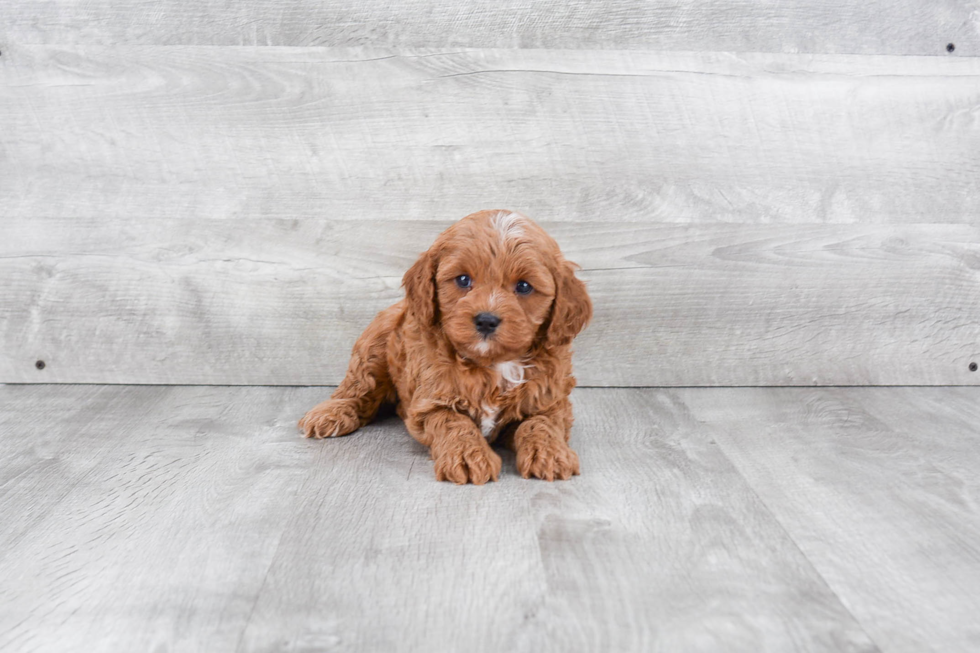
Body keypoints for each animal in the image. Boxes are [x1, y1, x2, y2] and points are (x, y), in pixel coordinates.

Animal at [298, 210, 588, 484]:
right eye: (463, 280)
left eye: (524, 286)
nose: (486, 320)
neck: (493, 364)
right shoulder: (431, 401)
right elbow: (453, 421)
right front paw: (468, 456)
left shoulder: (551, 401)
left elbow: (540, 424)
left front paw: (550, 454)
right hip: (374, 345)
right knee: (357, 387)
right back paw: (330, 414)